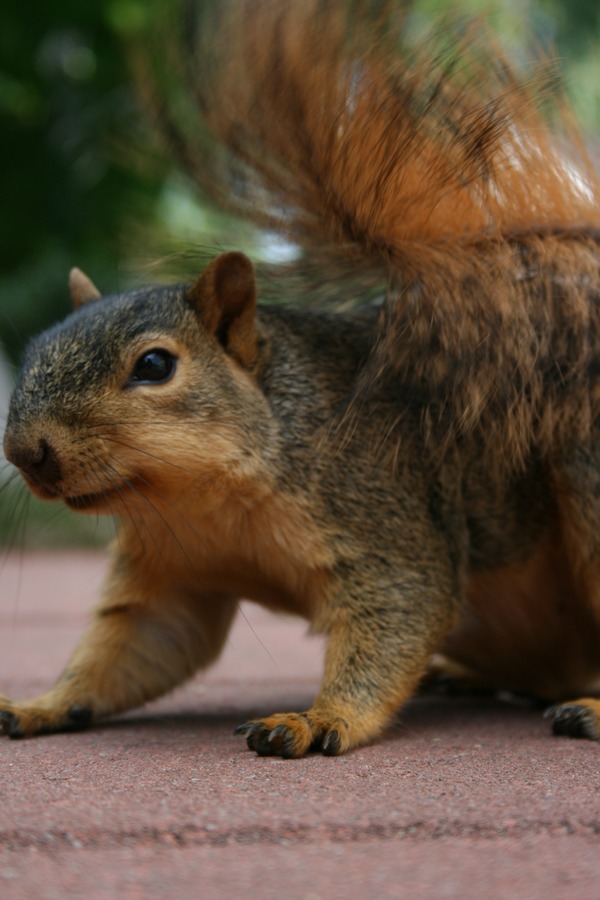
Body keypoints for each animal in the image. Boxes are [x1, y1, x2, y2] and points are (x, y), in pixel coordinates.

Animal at [1, 1, 600, 760]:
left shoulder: (380, 512)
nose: (26, 452)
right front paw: (38, 704)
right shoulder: (172, 574)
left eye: (155, 365)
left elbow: (403, 602)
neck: (203, 502)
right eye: (35, 348)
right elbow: (135, 648)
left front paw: (316, 718)